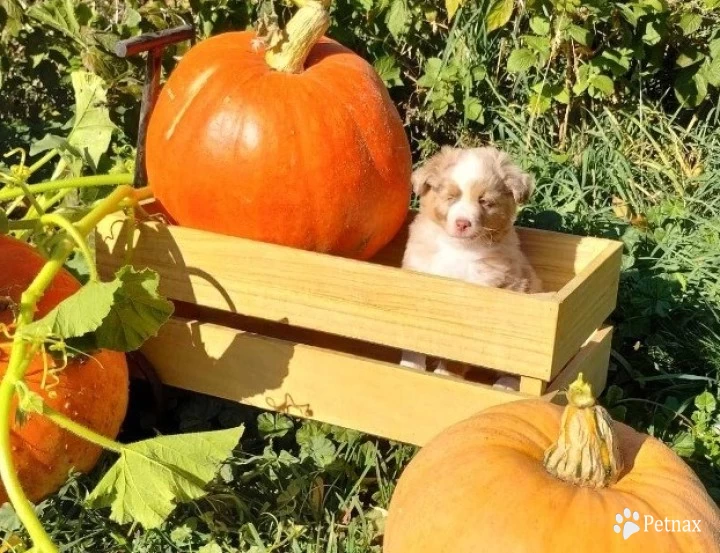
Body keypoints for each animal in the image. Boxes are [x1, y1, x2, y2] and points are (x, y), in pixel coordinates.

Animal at [400, 146, 540, 384]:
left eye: (484, 201)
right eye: (451, 197)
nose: (462, 223)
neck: (458, 249)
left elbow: (460, 352)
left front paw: (446, 374)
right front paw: (410, 366)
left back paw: (505, 385)